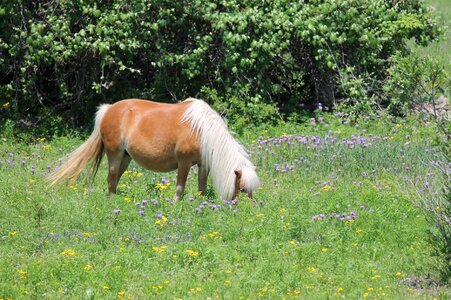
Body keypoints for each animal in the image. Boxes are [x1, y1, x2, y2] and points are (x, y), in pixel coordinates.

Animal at [47, 98, 260, 200]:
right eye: (242, 189)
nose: (247, 212)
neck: (201, 130)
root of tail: (108, 109)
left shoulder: (204, 164)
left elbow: (201, 187)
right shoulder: (184, 162)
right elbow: (180, 187)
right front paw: (175, 205)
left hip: (125, 158)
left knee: (114, 181)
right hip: (114, 154)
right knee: (111, 179)